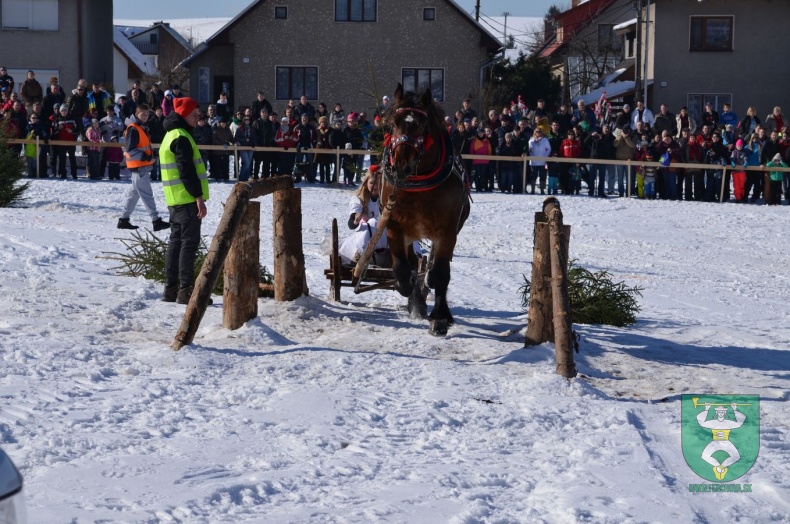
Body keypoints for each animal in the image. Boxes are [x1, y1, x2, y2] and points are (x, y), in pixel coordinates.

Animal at [378, 83, 470, 334]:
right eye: (392, 123)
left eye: (421, 124)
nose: (401, 164)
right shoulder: (394, 226)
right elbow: (401, 268)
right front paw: (411, 292)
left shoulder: (446, 231)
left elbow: (440, 273)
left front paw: (439, 316)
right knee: (411, 261)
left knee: (437, 267)